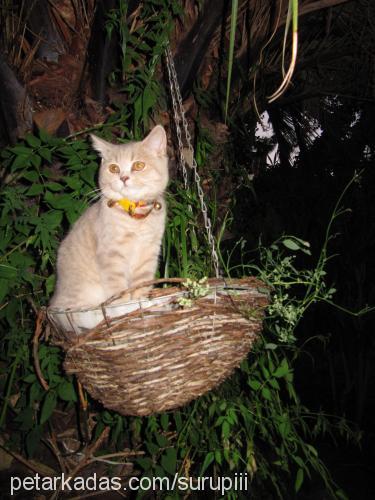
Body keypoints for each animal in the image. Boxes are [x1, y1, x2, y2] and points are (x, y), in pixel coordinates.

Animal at [49, 125, 169, 310]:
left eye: (139, 165)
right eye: (113, 168)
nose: (123, 178)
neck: (135, 218)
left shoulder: (149, 252)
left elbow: (142, 282)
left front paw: (140, 300)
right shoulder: (111, 253)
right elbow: (117, 285)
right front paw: (123, 304)